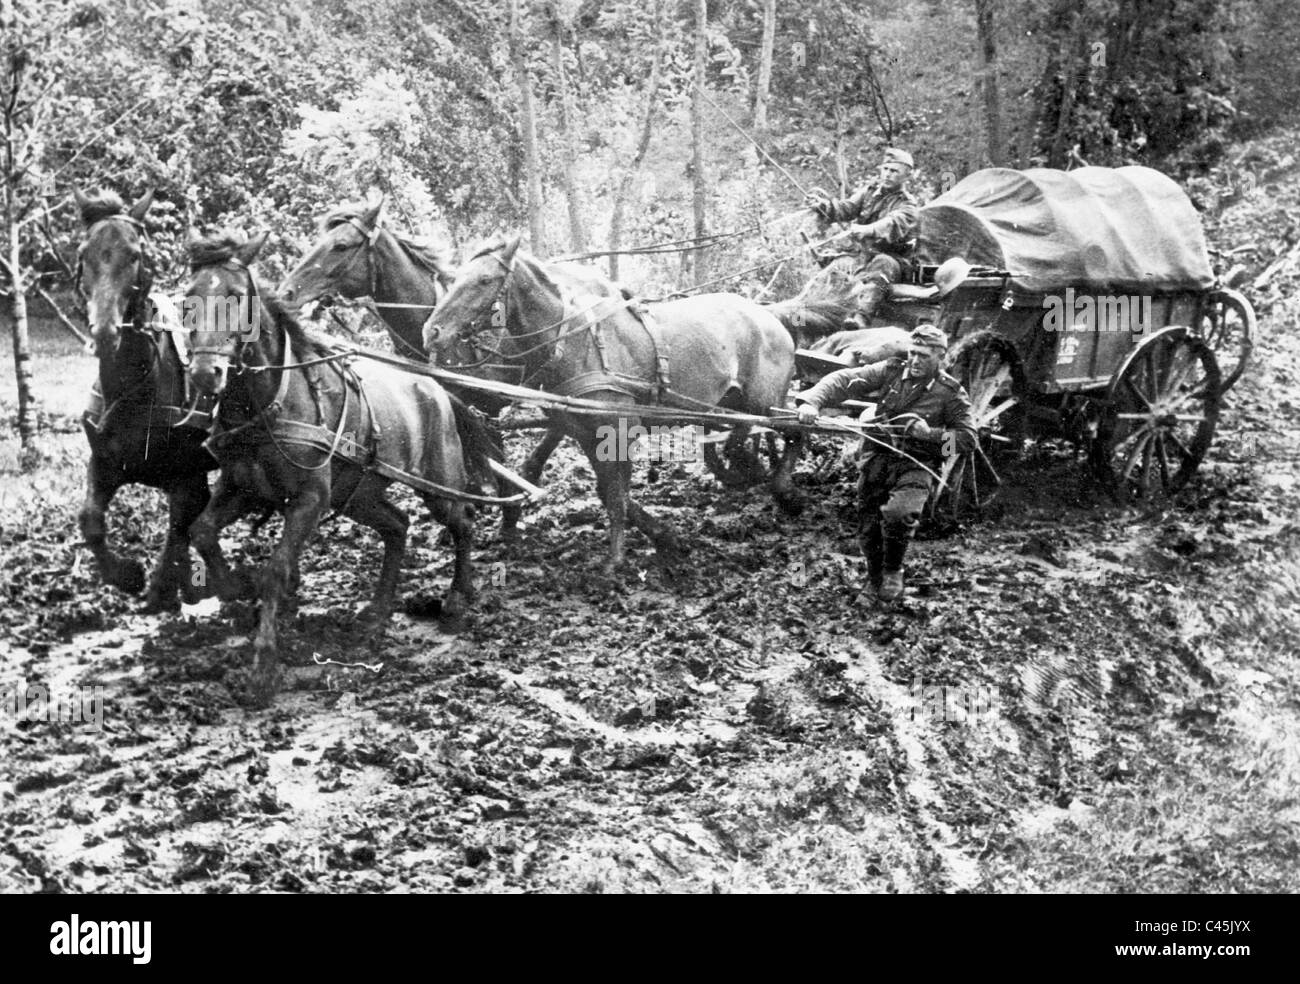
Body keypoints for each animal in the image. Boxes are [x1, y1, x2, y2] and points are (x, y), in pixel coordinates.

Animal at [73, 188, 228, 610]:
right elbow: (90, 521)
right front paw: (126, 575)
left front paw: (165, 588)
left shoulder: (187, 476)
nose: (105, 332)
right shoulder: (104, 463)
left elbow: (180, 528)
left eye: (134, 254)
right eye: (84, 253)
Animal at [180, 233, 488, 701]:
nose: (204, 373)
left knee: (463, 521)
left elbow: (275, 570)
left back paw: (456, 600)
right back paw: (376, 613)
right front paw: (236, 589)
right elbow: (201, 532)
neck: (270, 402)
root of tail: (435, 387)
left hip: (438, 485)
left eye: (236, 295)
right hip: (358, 495)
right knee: (397, 526)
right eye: (188, 297)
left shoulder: (311, 499)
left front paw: (263, 667)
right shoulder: (240, 488)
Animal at [423, 236, 800, 569]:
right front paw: (664, 538)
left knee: (792, 430)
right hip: (734, 403)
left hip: (763, 402)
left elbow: (617, 495)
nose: (432, 331)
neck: (573, 342)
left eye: (484, 280)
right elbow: (609, 492)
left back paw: (781, 487)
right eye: (453, 279)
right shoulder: (585, 434)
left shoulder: (619, 431)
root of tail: (771, 319)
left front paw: (615, 561)